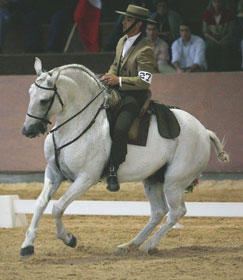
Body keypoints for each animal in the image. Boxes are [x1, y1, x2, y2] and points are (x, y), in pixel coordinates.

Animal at [20, 57, 228, 258]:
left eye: (44, 100)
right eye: (30, 93)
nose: (28, 131)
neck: (77, 124)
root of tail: (204, 131)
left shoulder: (85, 178)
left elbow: (57, 207)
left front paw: (69, 239)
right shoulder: (53, 173)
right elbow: (40, 204)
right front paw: (27, 246)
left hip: (174, 182)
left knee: (176, 212)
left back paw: (148, 246)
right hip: (152, 179)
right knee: (159, 212)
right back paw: (130, 245)